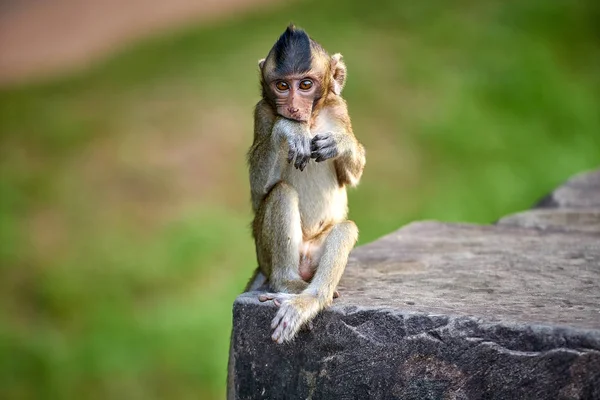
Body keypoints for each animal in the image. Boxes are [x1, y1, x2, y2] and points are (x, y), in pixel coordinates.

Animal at [245, 24, 366, 344]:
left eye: (306, 85)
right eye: (282, 86)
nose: (293, 107)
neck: (311, 121)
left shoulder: (340, 110)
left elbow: (352, 176)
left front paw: (341, 143)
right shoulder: (262, 113)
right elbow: (259, 192)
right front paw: (290, 129)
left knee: (345, 228)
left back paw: (312, 299)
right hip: (265, 255)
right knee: (281, 193)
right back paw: (288, 285)